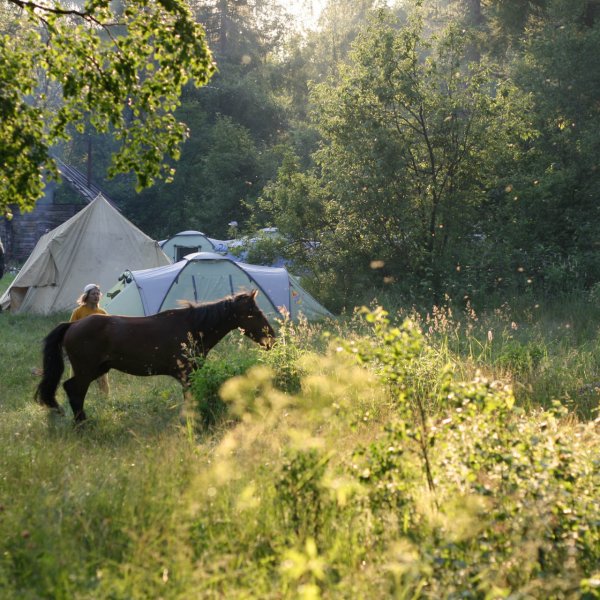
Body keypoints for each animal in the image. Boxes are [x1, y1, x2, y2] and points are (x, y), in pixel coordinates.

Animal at [35, 290, 274, 422]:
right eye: (254, 312)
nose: (271, 337)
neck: (193, 327)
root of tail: (72, 325)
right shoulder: (187, 374)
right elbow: (190, 399)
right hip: (87, 371)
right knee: (75, 391)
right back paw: (82, 424)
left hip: (97, 370)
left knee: (70, 388)